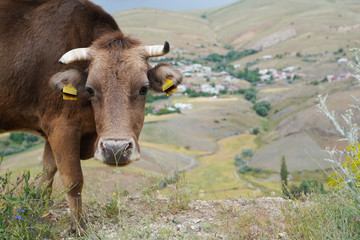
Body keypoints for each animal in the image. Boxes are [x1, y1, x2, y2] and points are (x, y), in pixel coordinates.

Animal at [0, 0, 181, 232]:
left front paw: (38, 213)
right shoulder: (61, 126)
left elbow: (47, 172)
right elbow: (72, 178)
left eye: (144, 88)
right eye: (90, 89)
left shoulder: (52, 129)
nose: (115, 150)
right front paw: (78, 226)